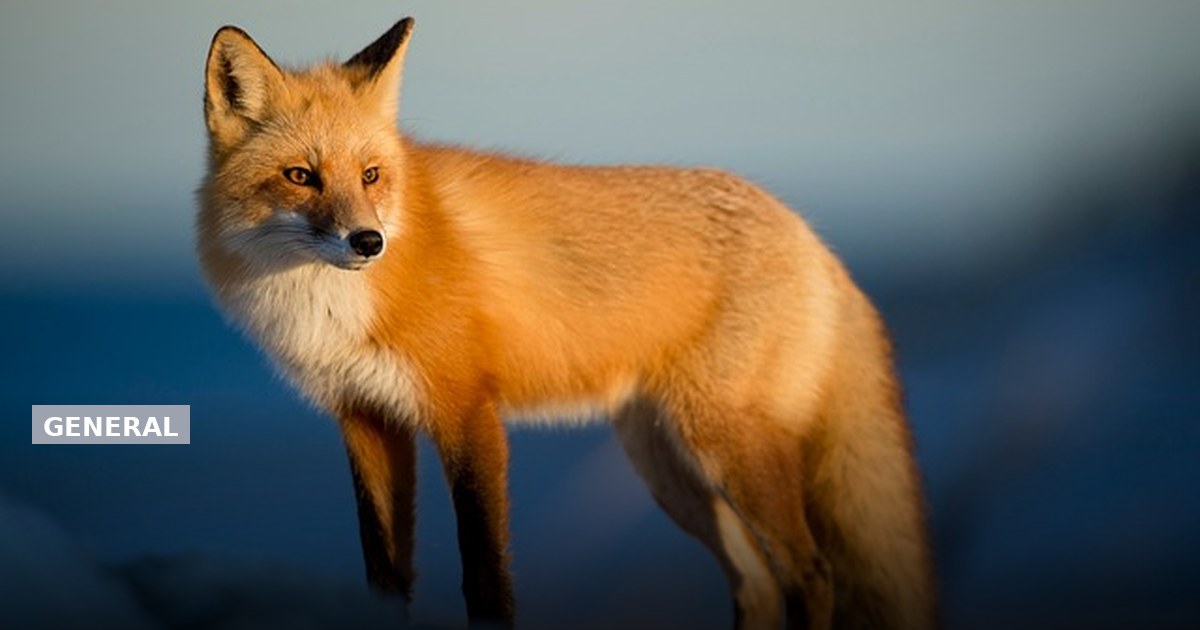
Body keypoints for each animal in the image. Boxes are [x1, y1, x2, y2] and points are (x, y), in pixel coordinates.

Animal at [198, 16, 935, 630]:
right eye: (301, 176)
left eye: (372, 175)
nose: (368, 242)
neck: (330, 305)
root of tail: (811, 236)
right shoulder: (365, 418)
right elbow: (384, 574)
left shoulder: (467, 411)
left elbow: (485, 576)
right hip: (668, 469)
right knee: (756, 584)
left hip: (725, 445)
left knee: (809, 573)